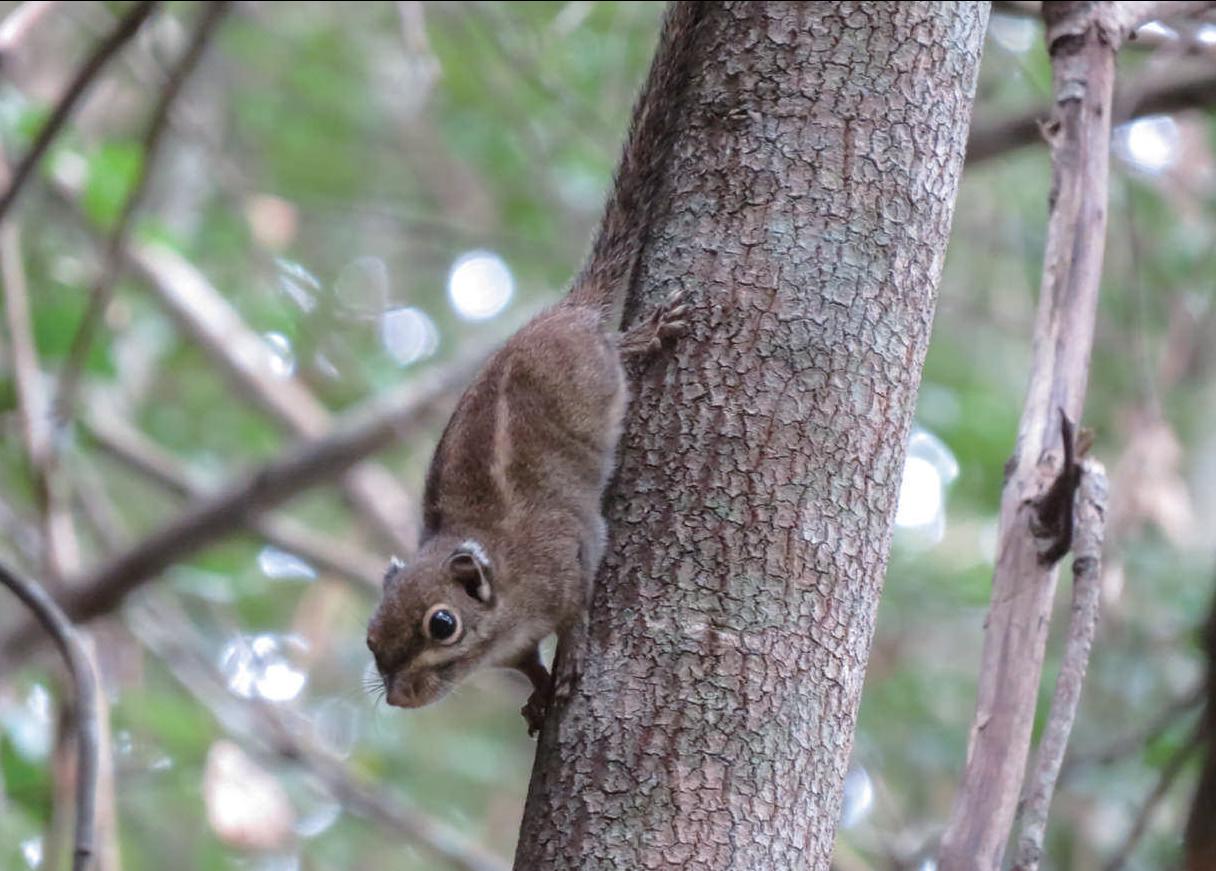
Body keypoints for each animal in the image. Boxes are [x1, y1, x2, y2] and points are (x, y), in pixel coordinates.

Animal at [362, 3, 705, 734]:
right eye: (372, 638)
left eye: (442, 625)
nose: (400, 697)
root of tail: (563, 310)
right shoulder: (513, 642)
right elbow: (525, 663)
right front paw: (539, 688)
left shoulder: (565, 565)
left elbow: (576, 615)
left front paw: (568, 664)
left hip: (596, 370)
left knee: (616, 352)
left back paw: (646, 335)